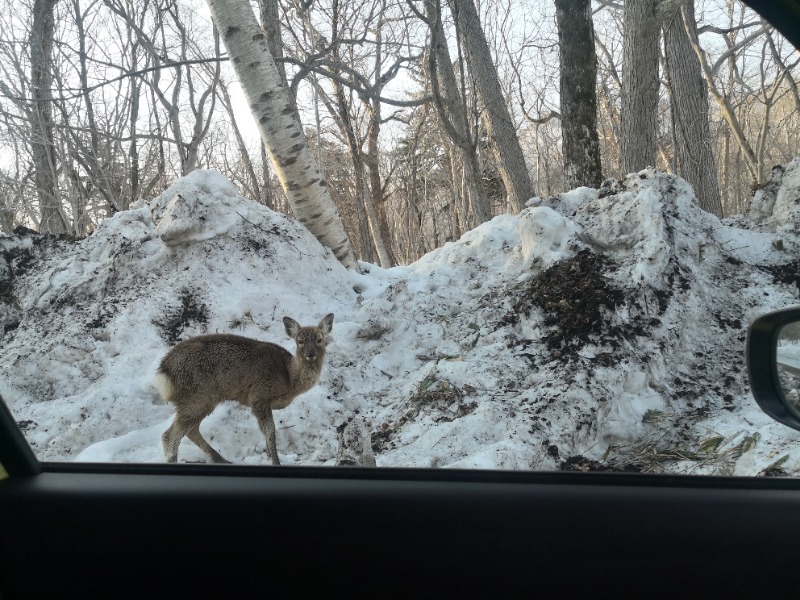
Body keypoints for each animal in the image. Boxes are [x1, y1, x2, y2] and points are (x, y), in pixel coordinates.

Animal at [156, 312, 334, 466]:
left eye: (320, 339)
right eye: (299, 341)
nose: (310, 354)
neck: (289, 380)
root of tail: (165, 370)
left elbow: (266, 431)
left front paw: (269, 455)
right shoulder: (259, 396)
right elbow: (270, 431)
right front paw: (275, 462)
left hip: (203, 400)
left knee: (191, 430)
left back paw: (220, 458)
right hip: (196, 397)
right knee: (169, 436)